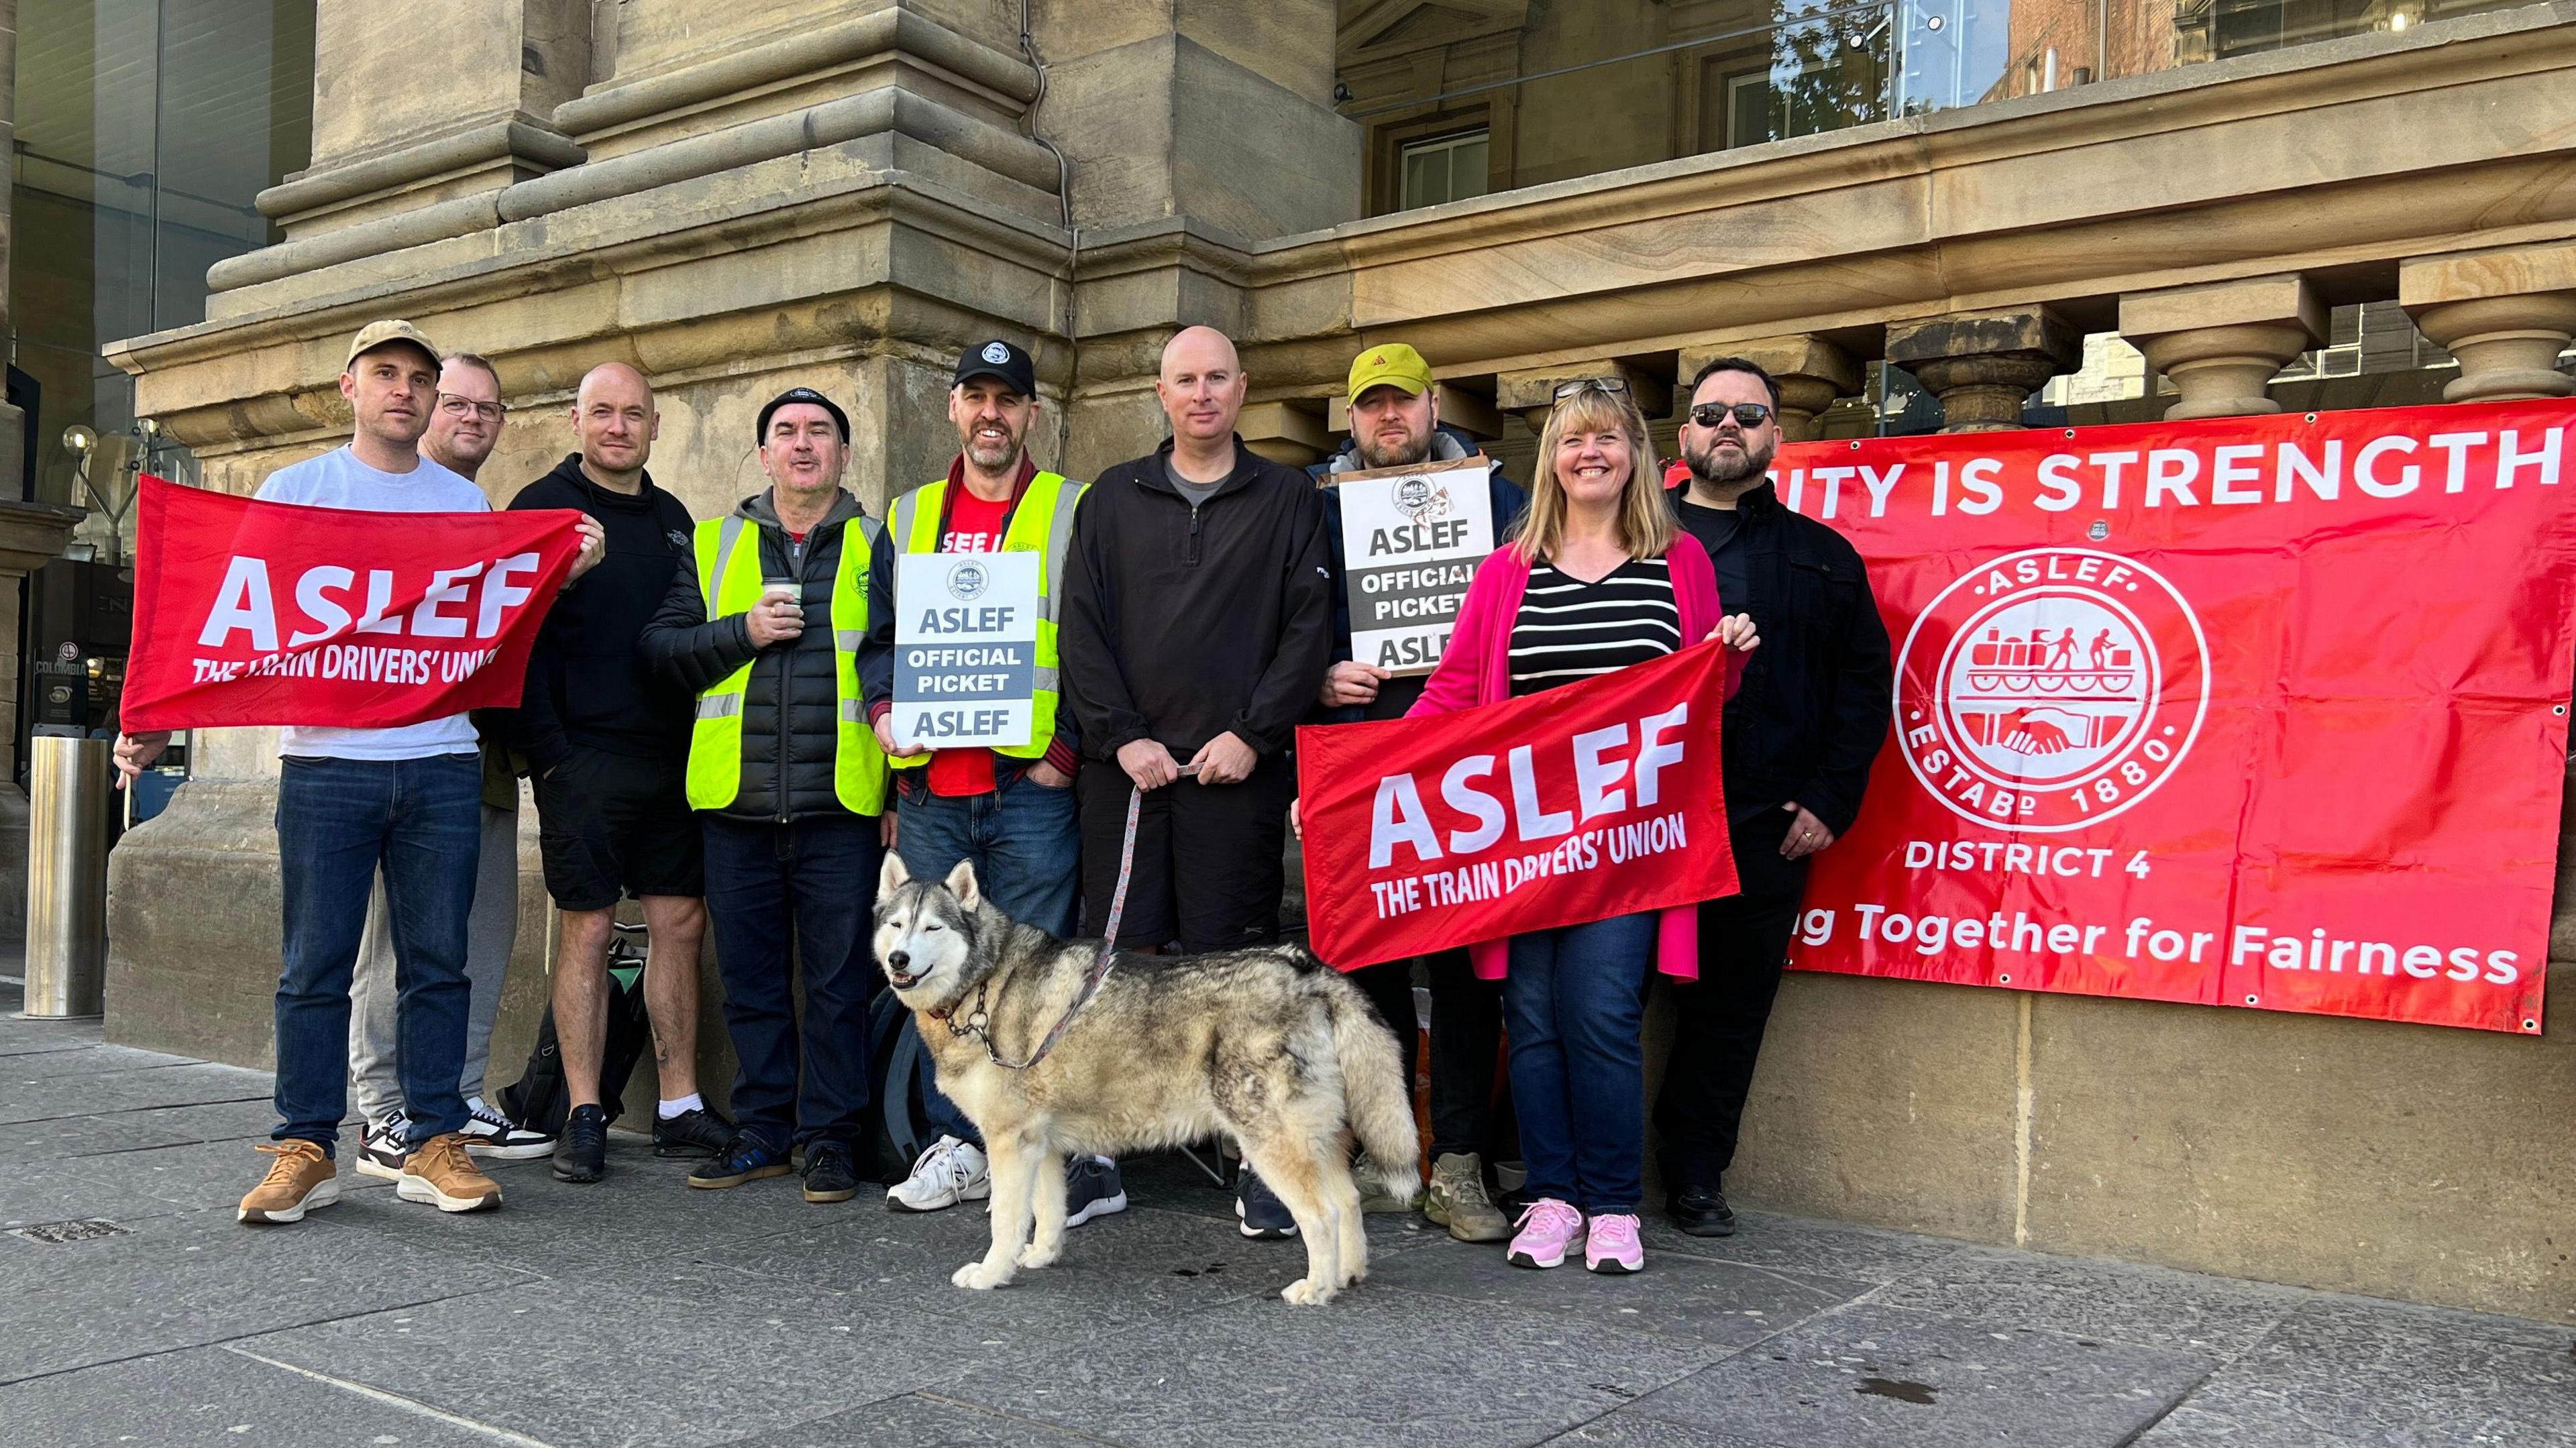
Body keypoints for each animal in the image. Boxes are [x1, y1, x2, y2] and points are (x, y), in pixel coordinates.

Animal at [875, 850, 1421, 1303]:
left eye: (933, 929)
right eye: (898, 924)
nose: (898, 959)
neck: (987, 984)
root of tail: (1311, 971)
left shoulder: (1011, 1142)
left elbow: (1006, 1222)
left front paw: (992, 1273)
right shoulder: (1042, 1145)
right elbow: (1048, 1212)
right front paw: (1040, 1257)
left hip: (1271, 1143)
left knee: (1322, 1215)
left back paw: (1317, 1288)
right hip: (1318, 1139)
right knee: (1348, 1201)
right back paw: (1348, 1275)